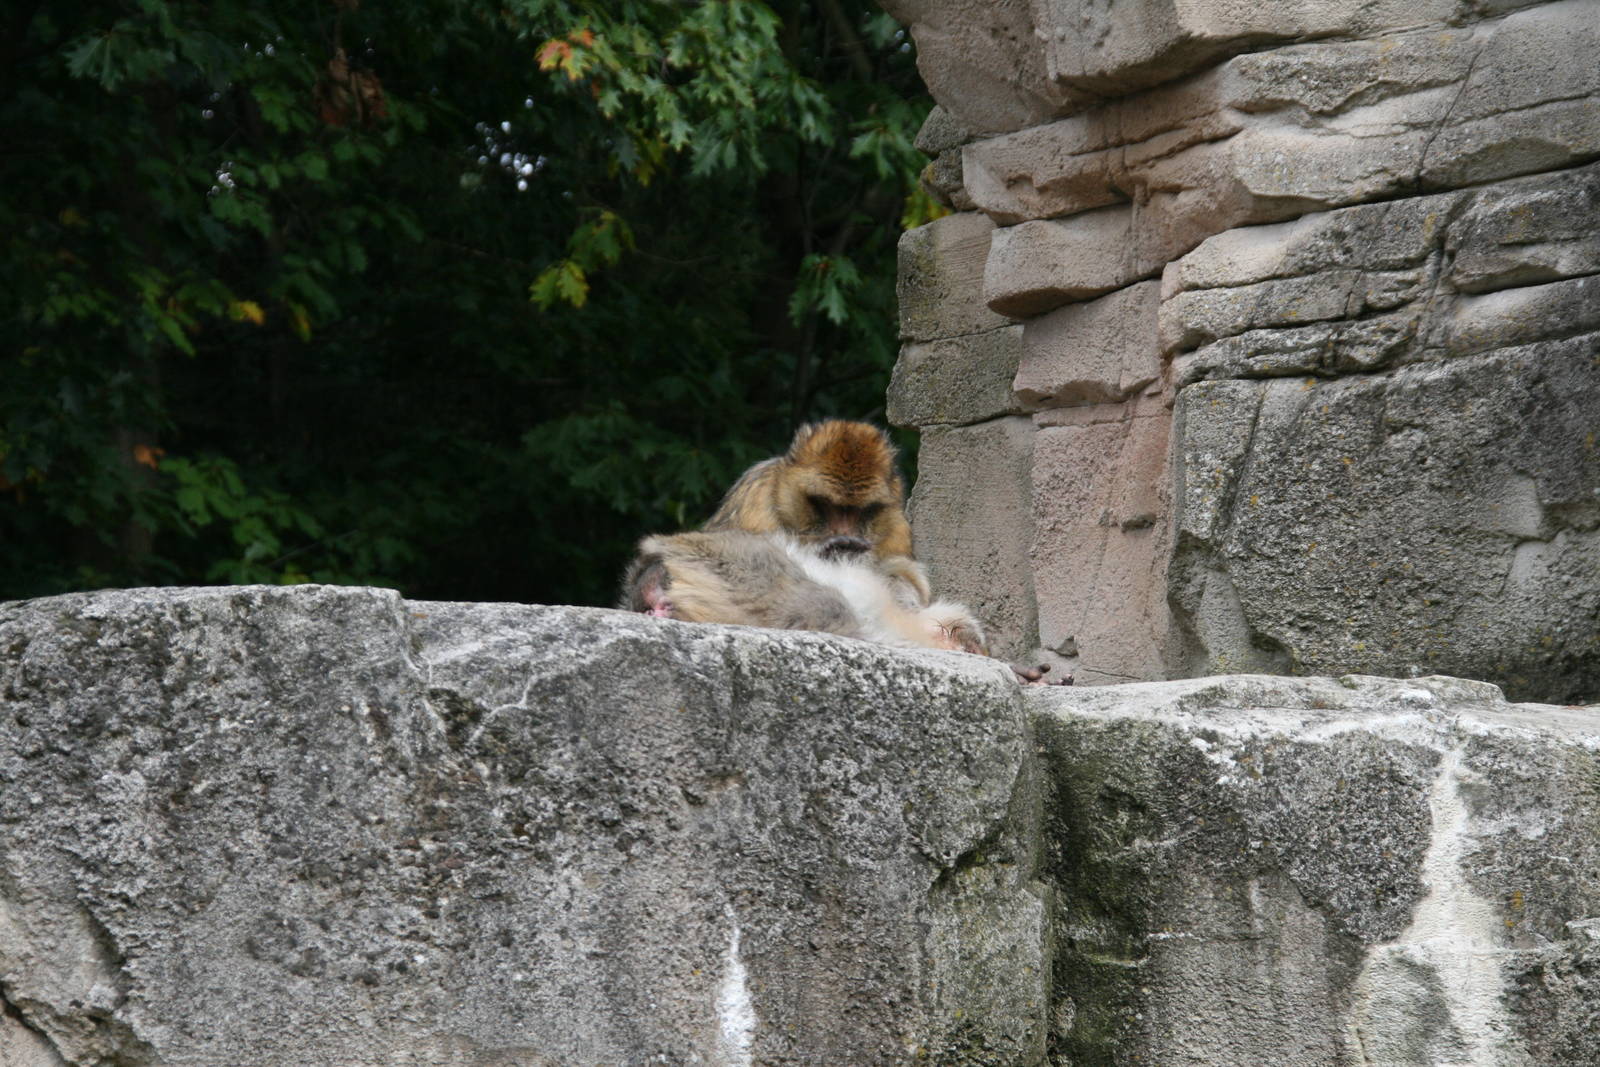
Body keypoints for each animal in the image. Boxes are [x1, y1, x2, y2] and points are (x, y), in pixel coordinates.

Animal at [703, 421, 933, 606]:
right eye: (825, 504)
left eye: (861, 510)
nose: (844, 533)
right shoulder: (756, 497)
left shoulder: (898, 527)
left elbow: (906, 574)